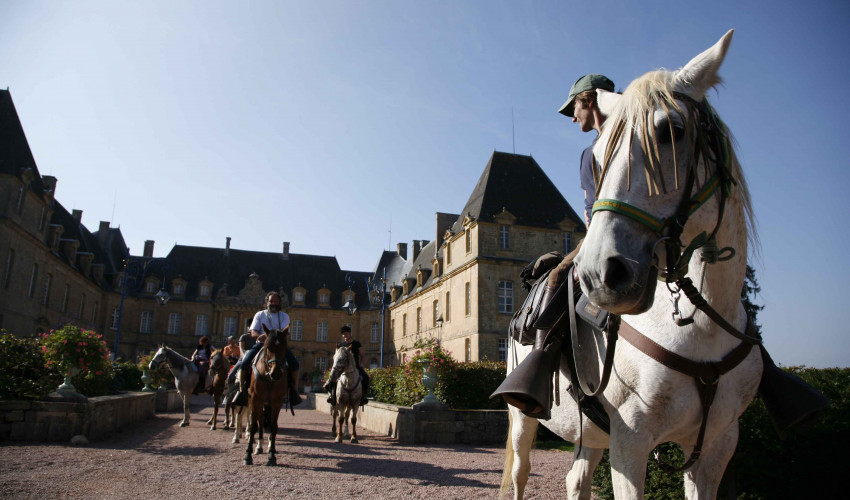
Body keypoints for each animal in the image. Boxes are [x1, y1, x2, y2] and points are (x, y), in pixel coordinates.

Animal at [240, 326, 290, 466]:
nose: (276, 373)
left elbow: (273, 427)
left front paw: (272, 455)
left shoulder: (277, 401)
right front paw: (247, 455)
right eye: (268, 347)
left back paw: (266, 446)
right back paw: (259, 446)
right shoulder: (255, 398)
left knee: (265, 420)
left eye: (284, 347)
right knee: (260, 420)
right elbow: (253, 426)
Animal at [504, 31, 760, 500]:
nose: (599, 274)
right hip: (522, 418)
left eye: (672, 131)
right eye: (601, 154)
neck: (700, 327)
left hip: (591, 434)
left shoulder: (716, 446)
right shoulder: (631, 443)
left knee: (576, 479)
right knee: (519, 473)